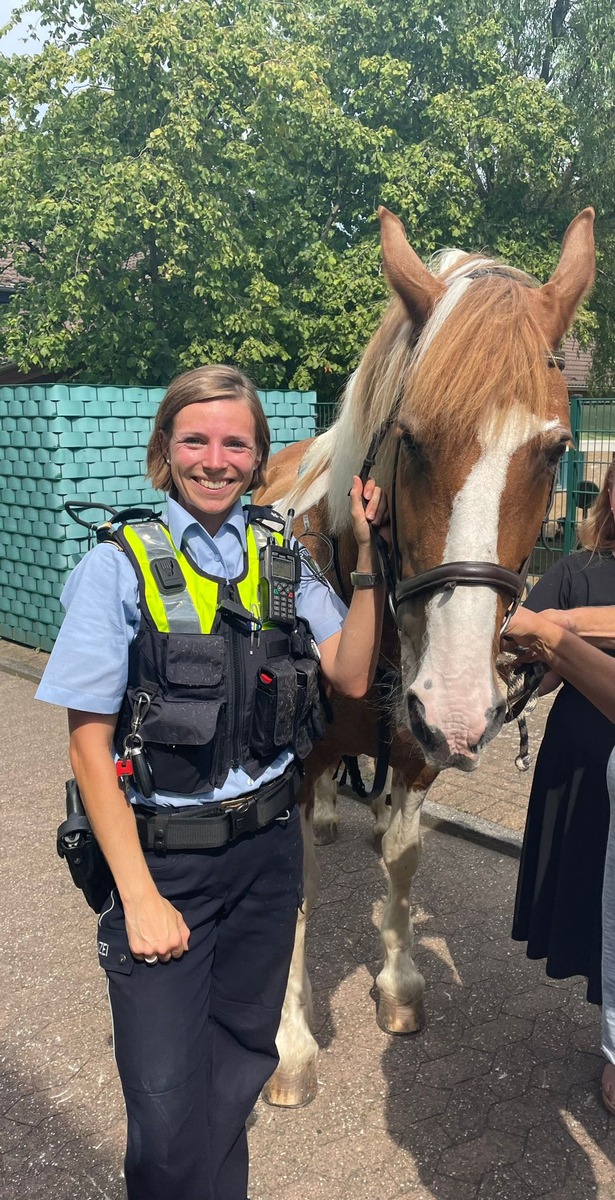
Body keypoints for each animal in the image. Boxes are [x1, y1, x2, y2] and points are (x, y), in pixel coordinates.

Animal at [255, 206, 595, 1104]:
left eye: (553, 450)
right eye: (407, 441)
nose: (457, 707)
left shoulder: (415, 750)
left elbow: (403, 860)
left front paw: (398, 984)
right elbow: (290, 889)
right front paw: (289, 1044)